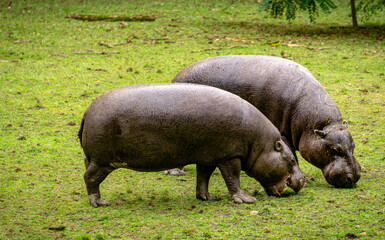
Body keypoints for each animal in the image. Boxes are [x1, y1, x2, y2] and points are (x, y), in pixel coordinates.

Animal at [79, 83, 304, 207]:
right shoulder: (230, 156)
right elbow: (233, 179)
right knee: (90, 178)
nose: (302, 180)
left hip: (94, 158)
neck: (260, 143)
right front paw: (246, 199)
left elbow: (203, 178)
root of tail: (86, 113)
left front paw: (208, 197)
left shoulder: (208, 156)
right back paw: (99, 203)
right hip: (104, 161)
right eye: (292, 160)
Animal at [171, 55, 360, 188]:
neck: (322, 125)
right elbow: (292, 156)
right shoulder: (282, 134)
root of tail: (176, 77)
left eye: (353, 146)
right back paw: (176, 173)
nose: (354, 177)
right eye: (334, 150)